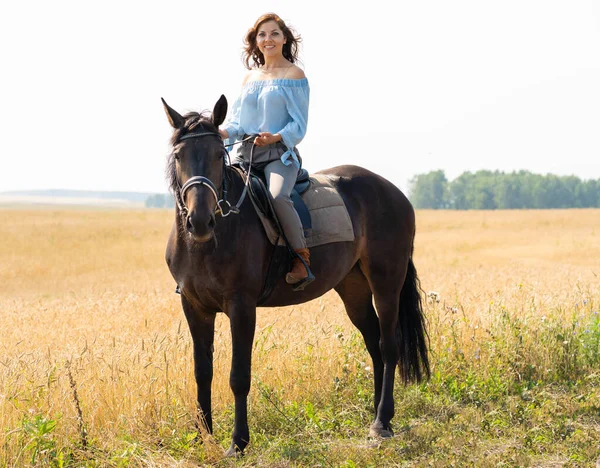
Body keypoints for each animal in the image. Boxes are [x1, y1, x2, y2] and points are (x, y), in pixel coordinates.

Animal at [162, 95, 428, 458]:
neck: (208, 243)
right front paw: (204, 437)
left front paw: (238, 443)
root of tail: (395, 193)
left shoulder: (241, 307)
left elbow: (238, 376)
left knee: (389, 346)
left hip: (387, 282)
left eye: (218, 154)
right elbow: (202, 371)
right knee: (374, 344)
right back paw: (377, 416)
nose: (200, 221)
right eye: (179, 156)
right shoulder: (194, 306)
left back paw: (382, 423)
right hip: (354, 289)